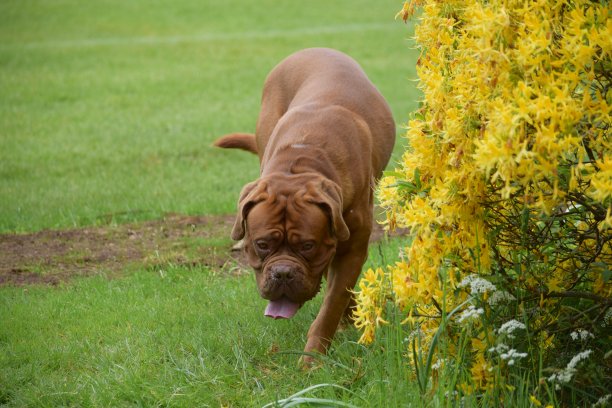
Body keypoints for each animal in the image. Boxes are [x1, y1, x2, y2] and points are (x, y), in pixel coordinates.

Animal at [215, 47, 396, 356]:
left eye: (308, 246)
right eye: (262, 245)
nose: (283, 273)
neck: (301, 162)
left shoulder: (353, 247)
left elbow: (332, 304)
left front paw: (313, 356)